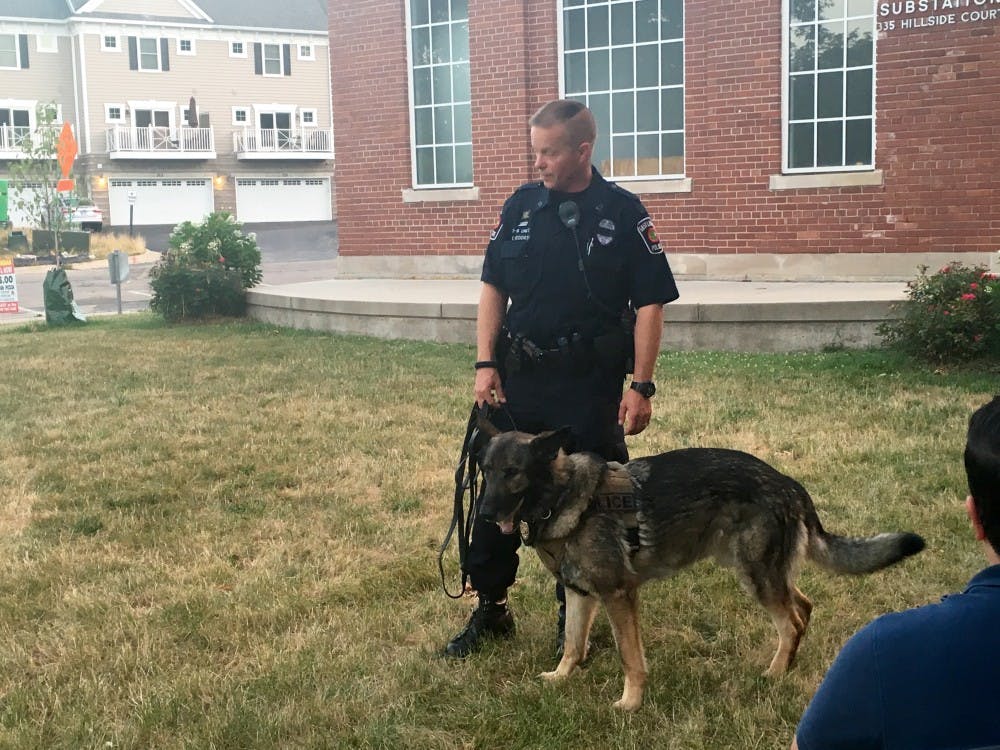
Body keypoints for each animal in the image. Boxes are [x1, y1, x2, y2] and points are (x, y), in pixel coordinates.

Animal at [478, 424, 928, 712]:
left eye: (513, 472)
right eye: (485, 471)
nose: (482, 514)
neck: (562, 495)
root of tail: (789, 484)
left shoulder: (618, 596)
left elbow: (629, 656)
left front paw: (630, 703)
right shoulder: (580, 594)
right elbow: (573, 643)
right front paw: (561, 677)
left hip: (756, 576)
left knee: (791, 621)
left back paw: (775, 673)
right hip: (762, 572)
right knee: (804, 605)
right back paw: (788, 664)